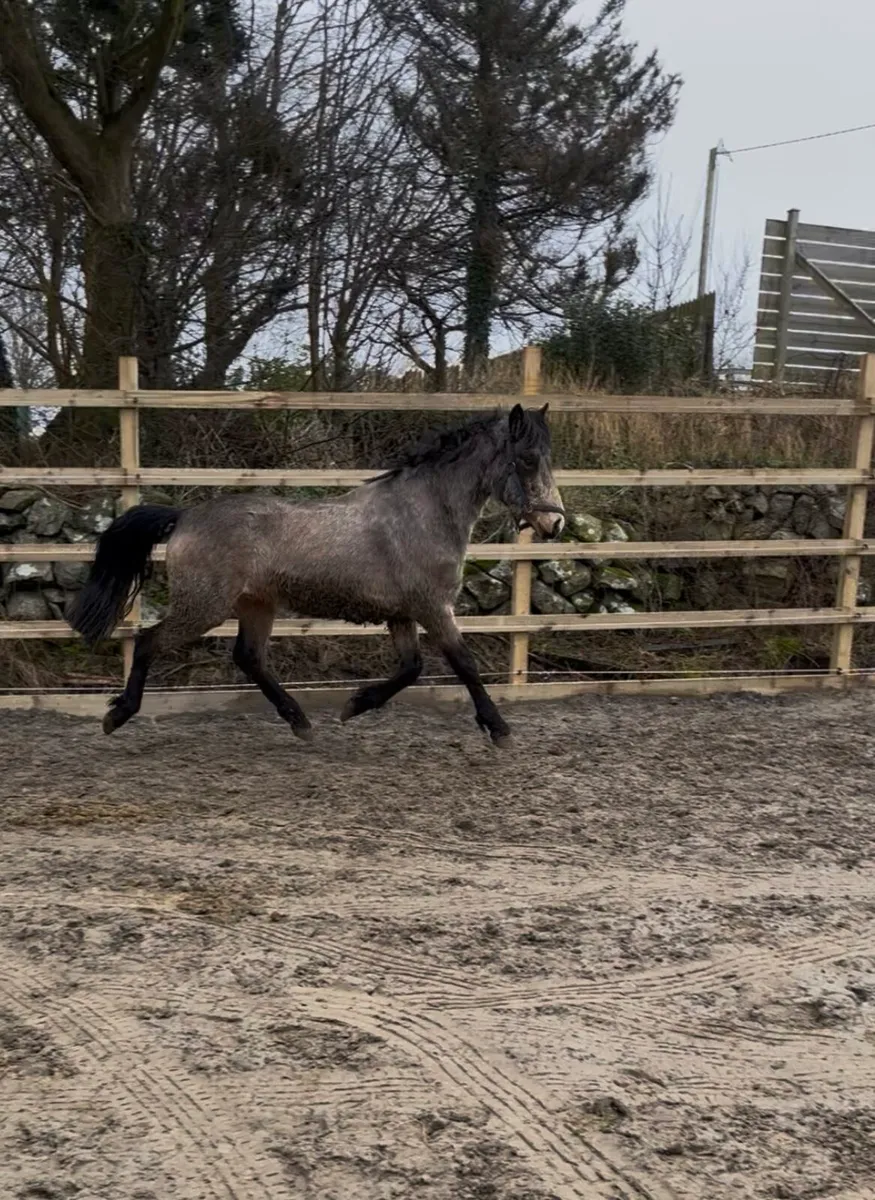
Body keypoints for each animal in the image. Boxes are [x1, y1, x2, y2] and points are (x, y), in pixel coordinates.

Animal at [69, 402, 565, 745]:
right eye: (526, 459)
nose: (555, 523)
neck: (424, 513)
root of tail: (185, 516)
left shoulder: (402, 614)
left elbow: (411, 668)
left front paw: (355, 705)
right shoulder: (433, 607)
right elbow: (464, 665)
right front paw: (499, 729)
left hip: (256, 604)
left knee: (249, 658)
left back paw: (301, 723)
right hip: (203, 607)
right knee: (149, 642)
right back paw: (117, 715)